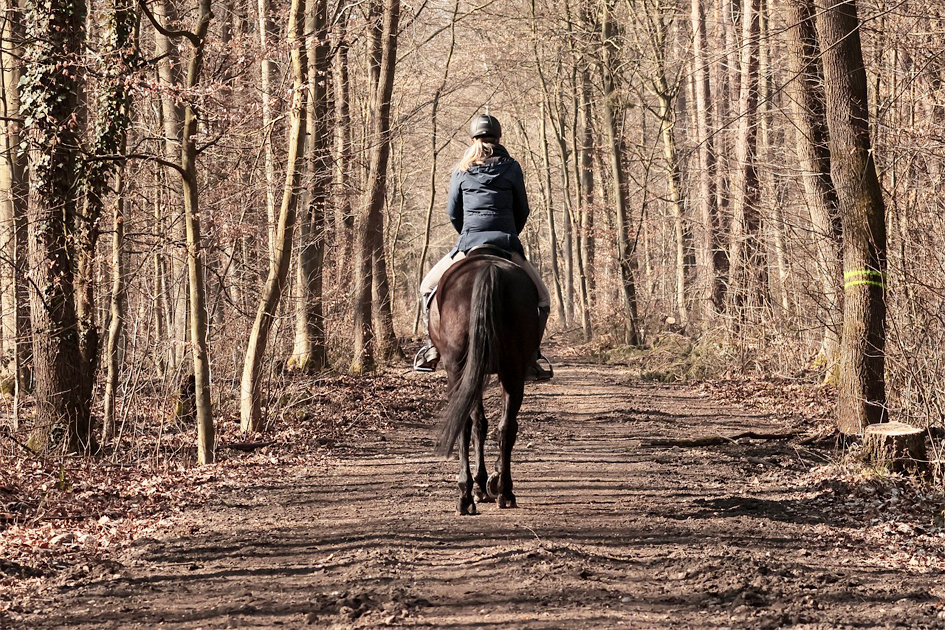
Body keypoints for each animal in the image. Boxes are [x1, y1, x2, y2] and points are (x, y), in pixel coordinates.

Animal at [429, 247, 542, 515]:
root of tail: (489, 268)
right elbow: (483, 424)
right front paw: (490, 481)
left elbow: (477, 424)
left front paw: (480, 485)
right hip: (512, 370)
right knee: (507, 426)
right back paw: (505, 492)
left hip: (460, 368)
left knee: (466, 423)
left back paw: (467, 496)